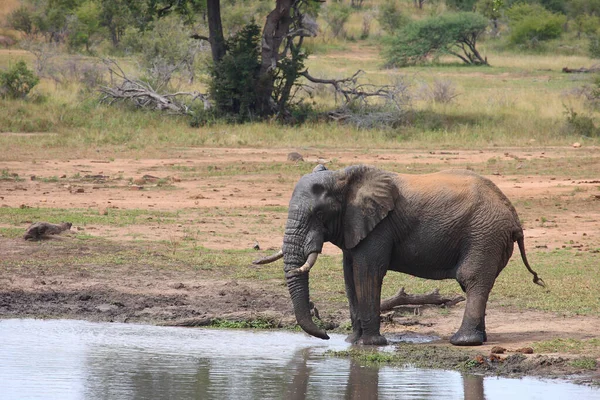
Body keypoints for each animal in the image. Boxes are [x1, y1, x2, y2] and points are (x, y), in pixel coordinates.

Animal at [255, 164, 548, 346]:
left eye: (318, 214)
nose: (326, 335)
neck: (344, 177)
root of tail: (514, 216)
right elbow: (349, 276)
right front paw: (352, 343)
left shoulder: (379, 227)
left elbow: (367, 272)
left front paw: (371, 344)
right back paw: (479, 339)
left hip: (484, 235)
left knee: (471, 279)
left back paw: (463, 342)